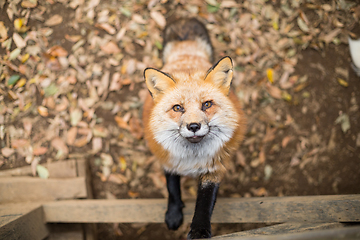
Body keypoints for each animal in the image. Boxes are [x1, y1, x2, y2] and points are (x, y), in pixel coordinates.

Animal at [142, 18, 246, 238]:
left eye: (207, 104)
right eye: (177, 108)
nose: (194, 126)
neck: (192, 158)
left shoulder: (214, 168)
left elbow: (204, 203)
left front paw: (199, 230)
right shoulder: (168, 159)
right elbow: (172, 189)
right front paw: (173, 214)